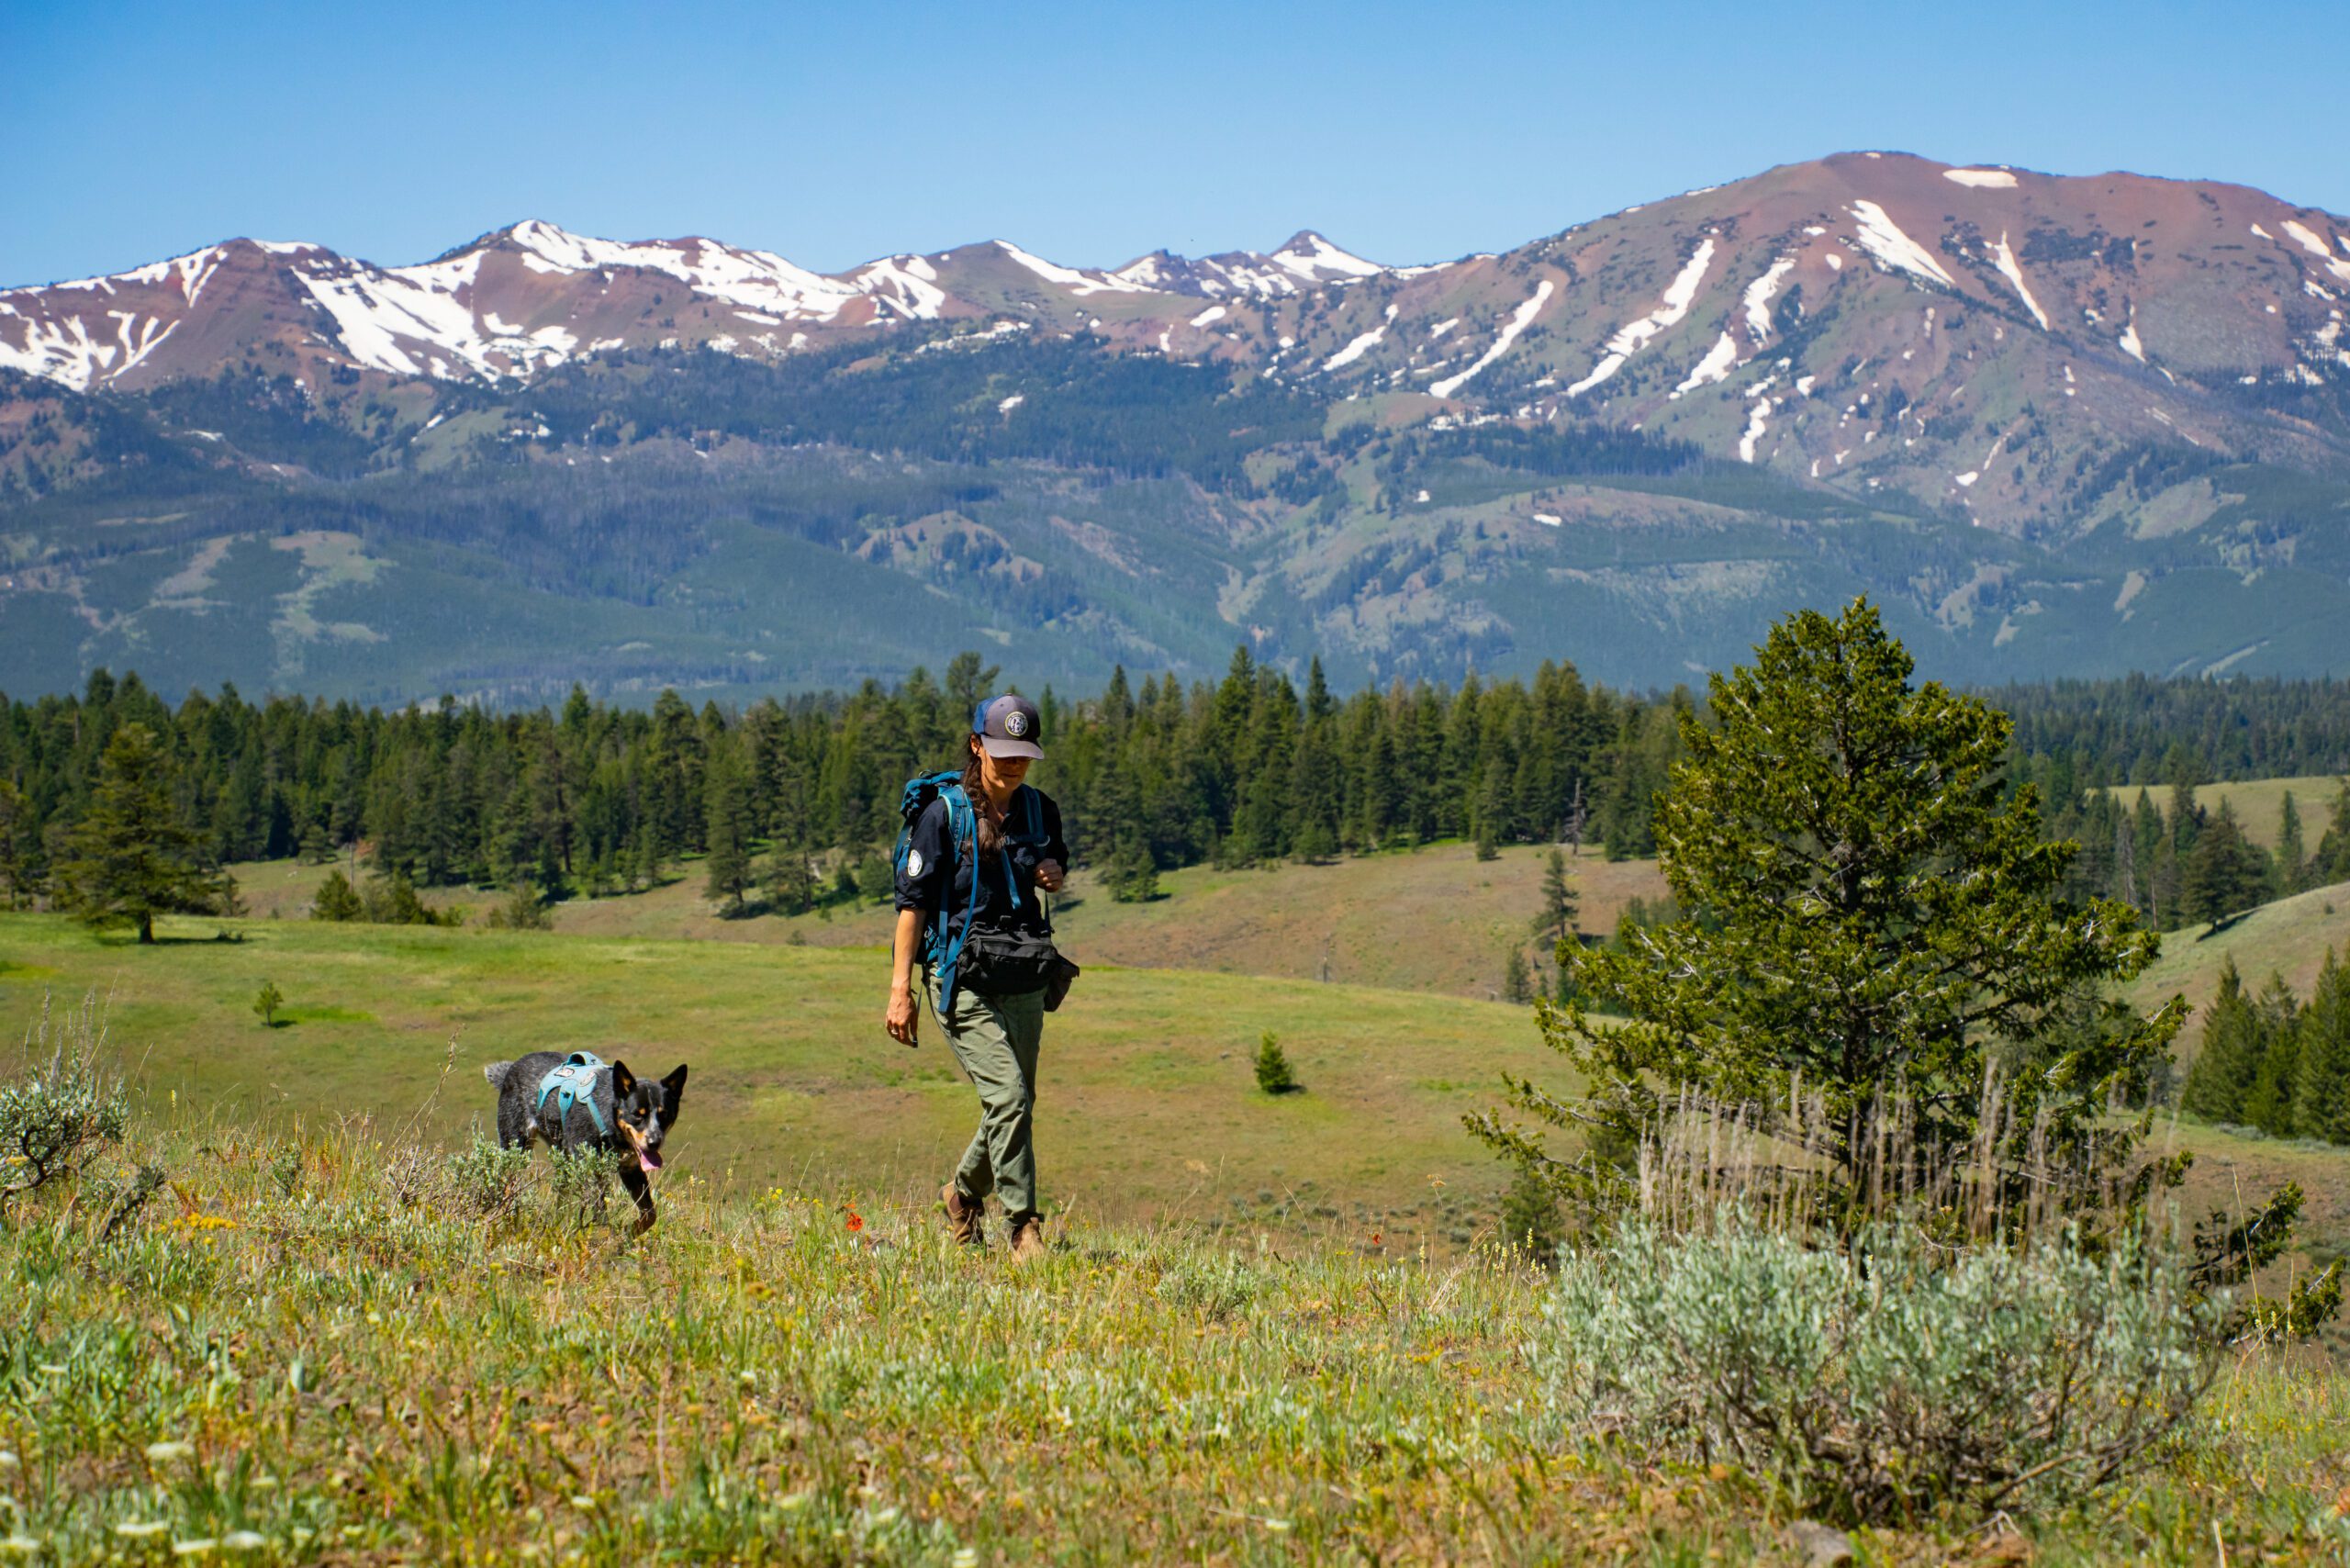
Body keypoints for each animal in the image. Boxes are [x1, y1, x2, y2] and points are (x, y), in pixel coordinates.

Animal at [481, 1053, 686, 1241]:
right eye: (637, 1114)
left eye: (664, 1114)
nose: (654, 1142)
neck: (606, 1118)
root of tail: (510, 1069)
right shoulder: (590, 1170)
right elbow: (601, 1216)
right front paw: (609, 1240)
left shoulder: (631, 1169)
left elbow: (650, 1215)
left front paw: (629, 1232)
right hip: (516, 1146)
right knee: (508, 1187)